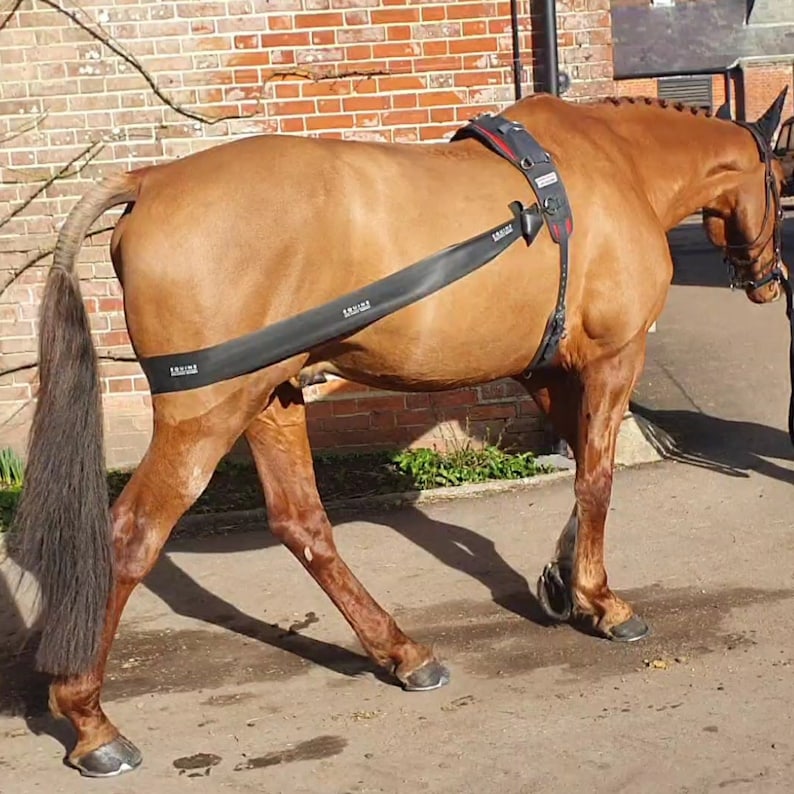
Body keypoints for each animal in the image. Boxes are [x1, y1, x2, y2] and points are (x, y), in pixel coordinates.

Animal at [11, 88, 789, 777]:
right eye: (780, 182)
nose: (769, 279)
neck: (612, 167)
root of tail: (151, 181)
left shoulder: (545, 369)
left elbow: (577, 476)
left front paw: (561, 580)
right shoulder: (611, 359)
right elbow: (596, 478)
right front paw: (601, 600)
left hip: (269, 397)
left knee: (303, 524)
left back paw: (401, 653)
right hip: (207, 414)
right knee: (131, 538)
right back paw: (91, 720)